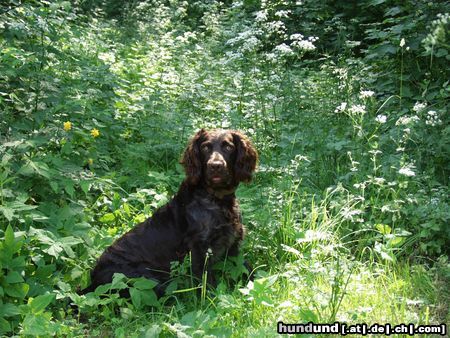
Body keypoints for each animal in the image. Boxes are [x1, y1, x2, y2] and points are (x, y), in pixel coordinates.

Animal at [81, 129, 256, 296]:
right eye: (205, 147)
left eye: (228, 147)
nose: (216, 166)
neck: (216, 199)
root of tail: (92, 281)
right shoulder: (199, 248)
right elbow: (206, 282)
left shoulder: (233, 242)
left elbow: (246, 267)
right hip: (150, 280)